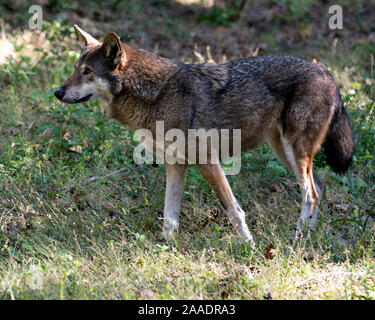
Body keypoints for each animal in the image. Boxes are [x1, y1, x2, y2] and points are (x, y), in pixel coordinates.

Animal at [54, 25, 354, 245]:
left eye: (87, 72)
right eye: (75, 69)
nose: (57, 92)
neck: (157, 95)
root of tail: (325, 70)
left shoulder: (208, 161)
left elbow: (234, 210)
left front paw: (250, 247)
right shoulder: (175, 164)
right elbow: (170, 215)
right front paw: (166, 248)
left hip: (294, 153)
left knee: (311, 194)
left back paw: (297, 239)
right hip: (285, 153)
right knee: (320, 188)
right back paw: (308, 236)